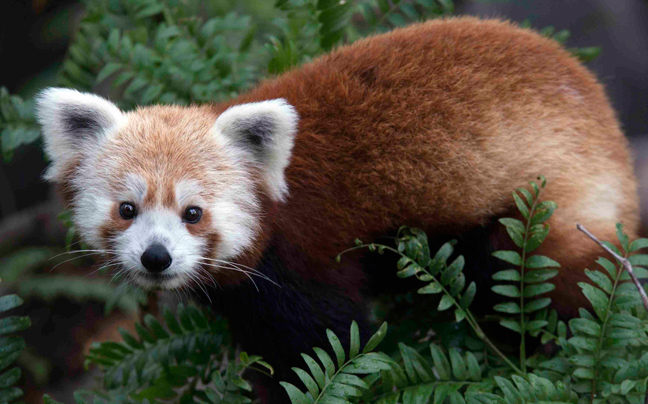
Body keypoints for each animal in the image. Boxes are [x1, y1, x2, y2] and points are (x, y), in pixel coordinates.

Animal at [36, 17, 636, 402]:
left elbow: (332, 339)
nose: (156, 258)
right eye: (127, 209)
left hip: (545, 203)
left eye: (193, 213)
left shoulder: (305, 255)